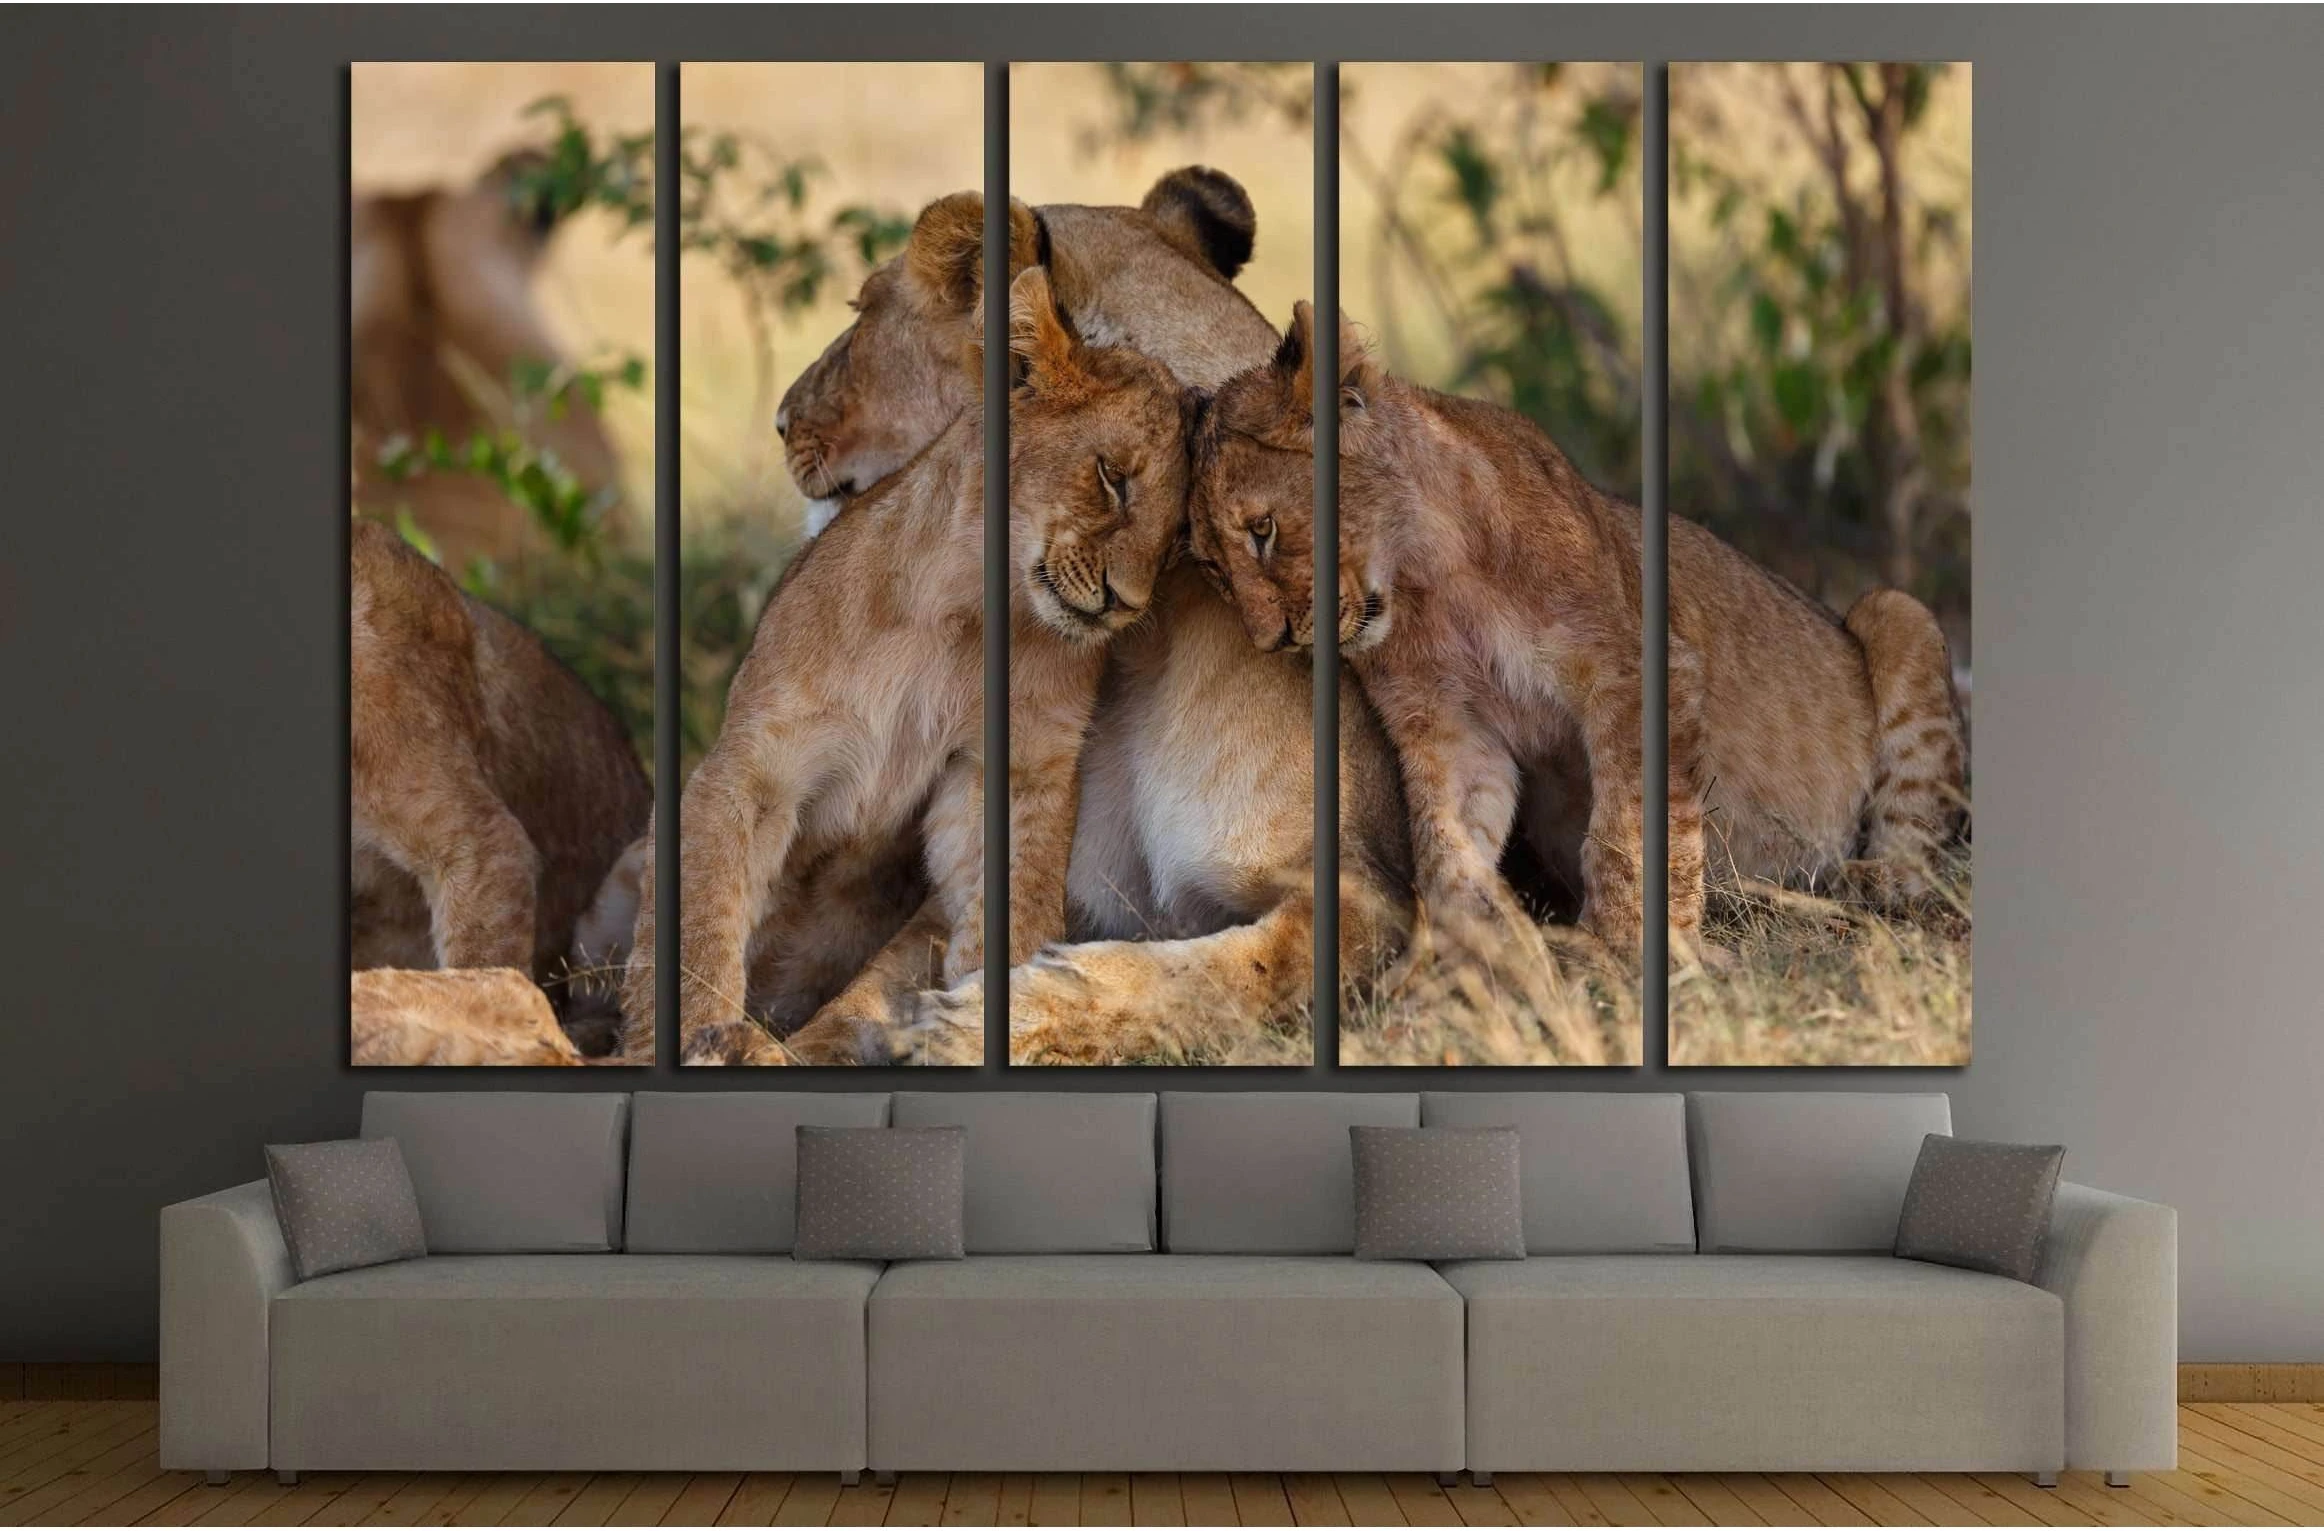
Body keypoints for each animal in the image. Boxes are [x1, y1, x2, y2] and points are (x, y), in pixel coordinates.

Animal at [626, 263, 1197, 1066]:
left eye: (1177, 538)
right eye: (1113, 478)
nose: (1127, 603)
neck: (968, 611)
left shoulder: (1011, 769)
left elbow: (1012, 903)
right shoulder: (752, 765)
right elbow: (698, 920)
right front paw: (689, 1037)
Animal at [1192, 306, 1966, 1000]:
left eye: (1262, 530)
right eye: (1213, 571)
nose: (1271, 639)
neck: (1429, 578)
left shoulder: (1637, 673)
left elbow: (1626, 829)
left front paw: (1628, 948)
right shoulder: (1447, 727)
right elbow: (1447, 848)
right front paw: (1461, 960)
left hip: (1897, 613)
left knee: (1923, 848)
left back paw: (1853, 881)